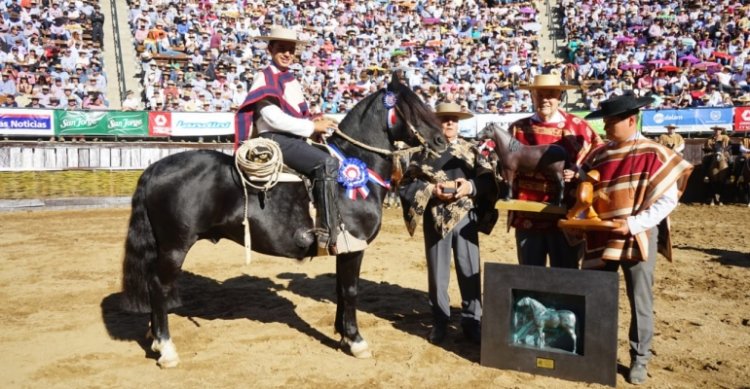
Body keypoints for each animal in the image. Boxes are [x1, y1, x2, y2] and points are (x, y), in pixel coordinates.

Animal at [119, 76, 444, 366]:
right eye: (412, 108)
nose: (442, 139)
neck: (353, 171)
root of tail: (156, 167)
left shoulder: (343, 250)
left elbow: (341, 290)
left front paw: (342, 335)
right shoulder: (354, 246)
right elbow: (351, 291)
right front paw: (356, 341)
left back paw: (155, 340)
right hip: (175, 247)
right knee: (159, 287)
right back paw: (167, 349)